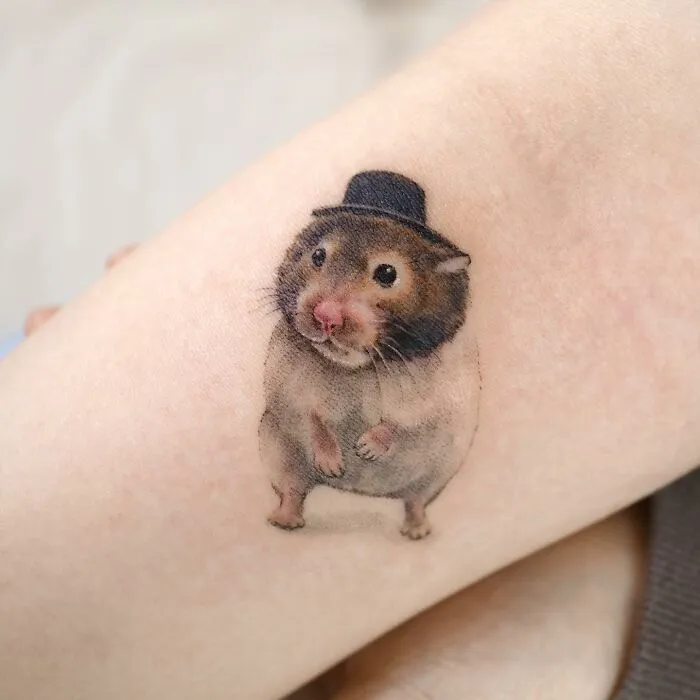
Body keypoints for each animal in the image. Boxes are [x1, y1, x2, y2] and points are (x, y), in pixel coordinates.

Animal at [259, 175, 480, 539]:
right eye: (318, 255)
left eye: (387, 273)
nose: (326, 317)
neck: (361, 367)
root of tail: (361, 490)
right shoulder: (285, 378)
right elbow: (310, 417)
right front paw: (333, 462)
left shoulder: (439, 394)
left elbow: (402, 421)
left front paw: (365, 448)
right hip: (277, 451)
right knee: (293, 490)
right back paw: (285, 519)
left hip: (439, 472)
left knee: (414, 500)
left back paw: (417, 530)